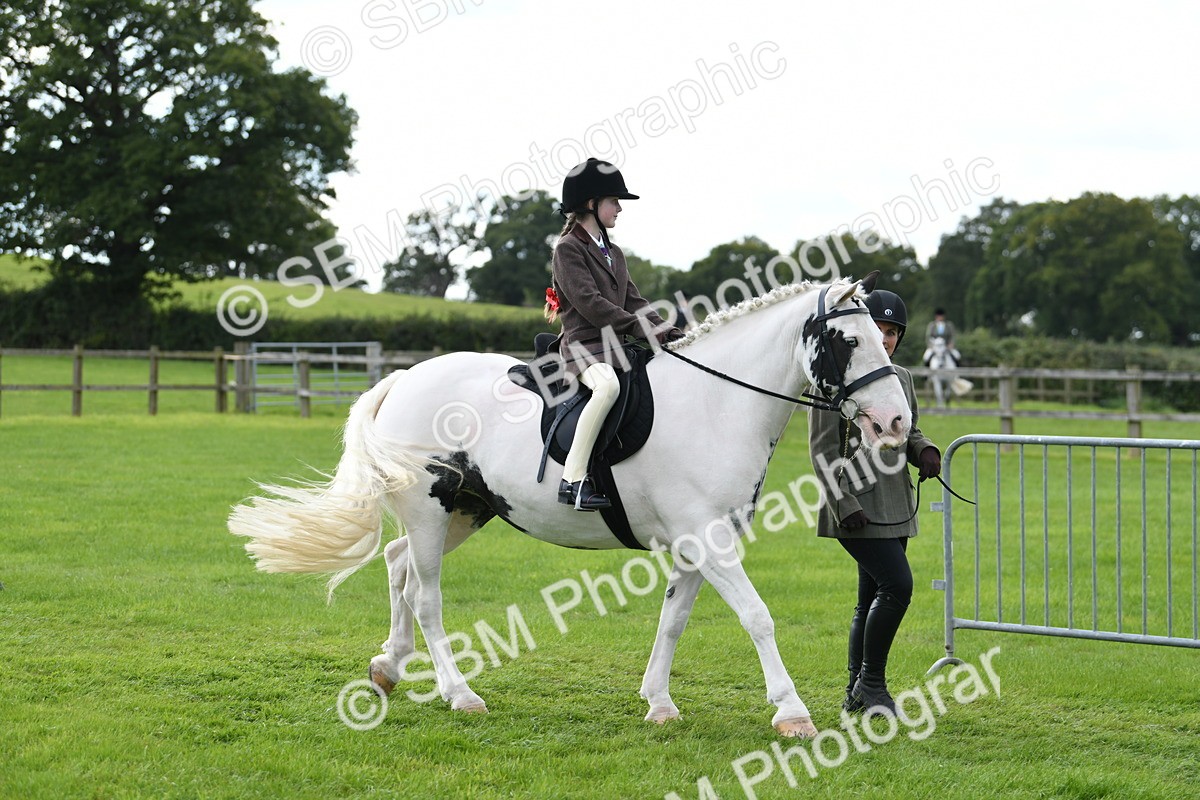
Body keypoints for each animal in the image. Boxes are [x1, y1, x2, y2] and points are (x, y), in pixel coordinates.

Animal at [228, 273, 912, 739]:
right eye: (847, 341)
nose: (896, 422)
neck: (715, 404)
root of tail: (404, 378)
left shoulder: (697, 543)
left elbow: (673, 620)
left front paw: (659, 704)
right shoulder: (708, 540)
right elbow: (758, 617)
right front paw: (792, 712)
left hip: (465, 510)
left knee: (398, 564)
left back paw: (388, 668)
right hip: (430, 510)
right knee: (426, 596)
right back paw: (459, 693)